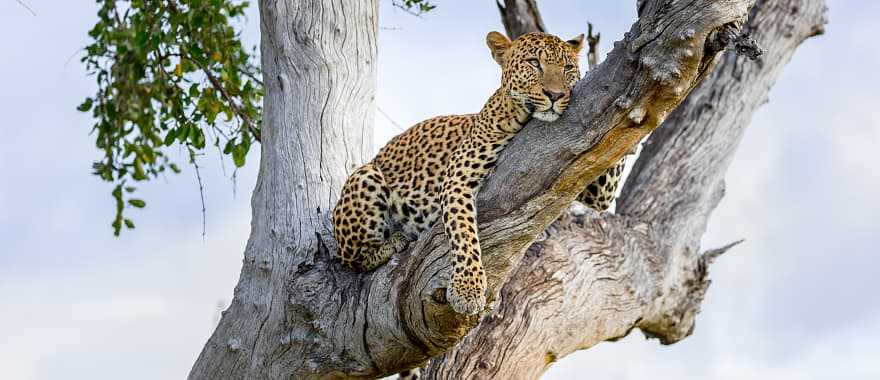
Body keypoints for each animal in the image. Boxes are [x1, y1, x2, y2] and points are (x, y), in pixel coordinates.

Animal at [330, 29, 624, 316]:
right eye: (534, 63)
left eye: (567, 68)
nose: (555, 95)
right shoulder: (457, 179)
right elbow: (464, 235)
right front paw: (467, 290)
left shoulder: (594, 183)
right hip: (365, 177)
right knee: (351, 259)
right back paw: (393, 242)